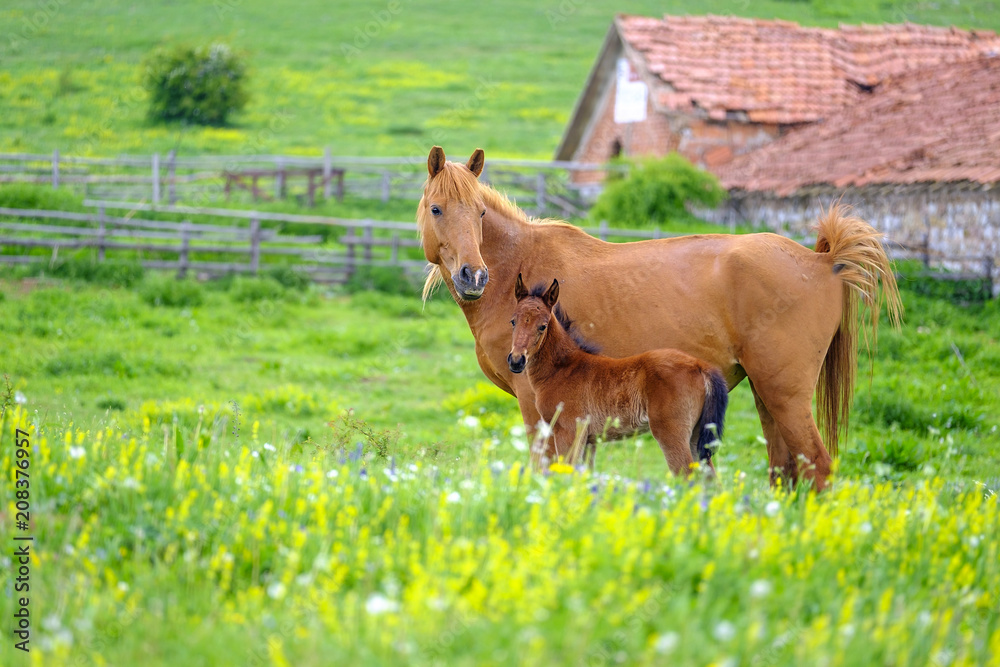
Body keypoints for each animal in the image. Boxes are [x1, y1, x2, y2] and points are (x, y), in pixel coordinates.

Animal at [508, 274, 728, 475]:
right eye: (513, 321)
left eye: (542, 326)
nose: (516, 360)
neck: (562, 369)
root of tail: (700, 365)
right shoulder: (589, 440)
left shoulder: (568, 431)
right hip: (696, 435)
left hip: (671, 434)